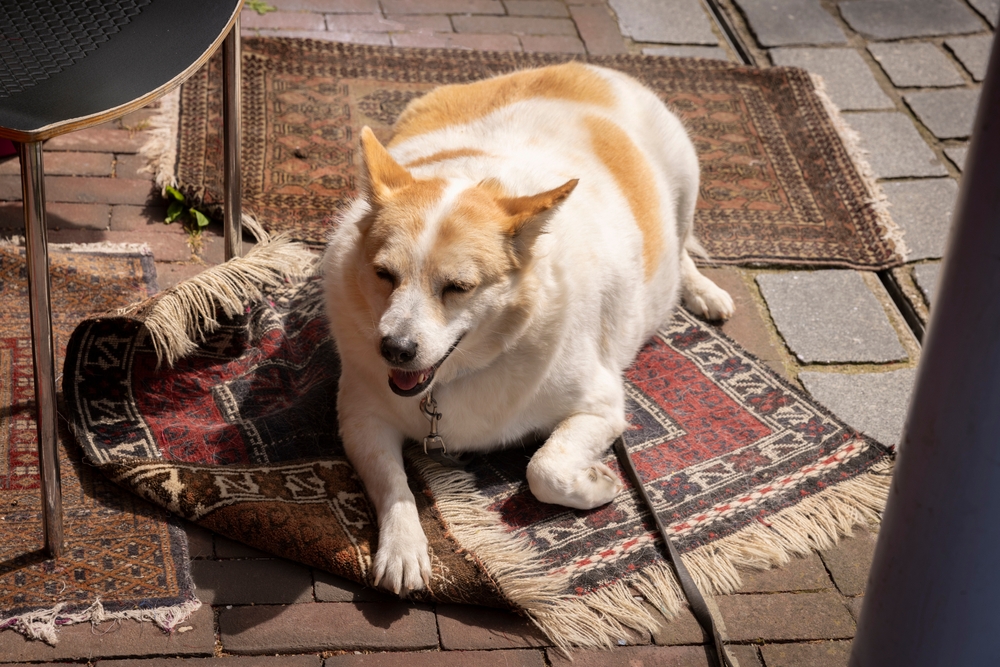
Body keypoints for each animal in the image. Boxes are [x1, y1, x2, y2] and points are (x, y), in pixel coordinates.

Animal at [322, 62, 736, 596]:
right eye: (383, 274)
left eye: (457, 287)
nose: (393, 349)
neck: (454, 378)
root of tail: (581, 68)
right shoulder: (359, 417)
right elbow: (393, 485)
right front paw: (403, 548)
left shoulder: (603, 407)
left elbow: (544, 469)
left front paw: (598, 484)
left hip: (686, 181)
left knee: (681, 243)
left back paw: (702, 291)